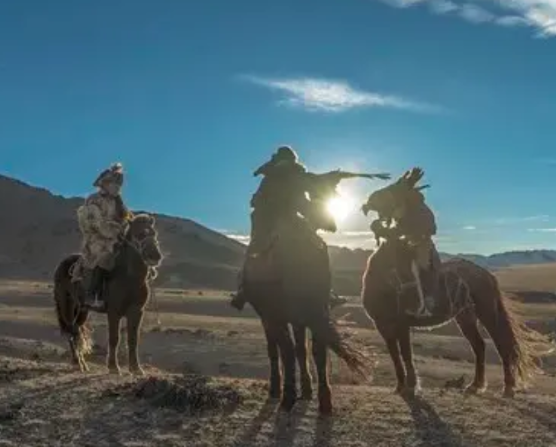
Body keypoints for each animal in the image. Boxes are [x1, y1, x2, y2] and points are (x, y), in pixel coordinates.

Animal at [52, 214, 163, 374]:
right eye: (140, 234)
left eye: (154, 233)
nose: (155, 256)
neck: (129, 277)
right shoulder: (114, 312)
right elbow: (114, 338)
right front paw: (113, 367)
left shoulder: (137, 311)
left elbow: (133, 339)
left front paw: (136, 368)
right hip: (66, 304)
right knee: (70, 331)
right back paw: (77, 363)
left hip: (82, 309)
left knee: (76, 329)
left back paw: (83, 365)